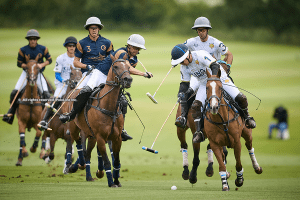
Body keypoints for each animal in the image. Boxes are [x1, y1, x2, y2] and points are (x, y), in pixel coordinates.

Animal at [61, 53, 132, 188]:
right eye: (115, 66)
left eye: (129, 67)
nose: (128, 79)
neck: (108, 107)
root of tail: (75, 90)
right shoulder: (101, 137)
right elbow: (107, 161)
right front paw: (111, 183)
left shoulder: (117, 138)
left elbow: (116, 161)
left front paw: (116, 181)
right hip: (74, 127)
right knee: (79, 142)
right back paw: (78, 164)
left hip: (91, 135)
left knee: (87, 153)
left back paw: (88, 175)